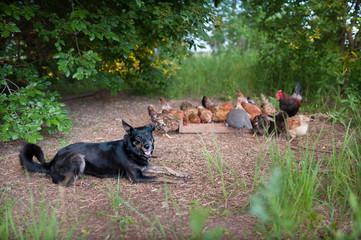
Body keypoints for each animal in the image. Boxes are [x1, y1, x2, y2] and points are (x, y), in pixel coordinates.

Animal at [19, 120, 188, 186]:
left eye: (148, 135)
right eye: (138, 137)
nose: (147, 146)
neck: (131, 150)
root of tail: (52, 161)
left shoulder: (145, 167)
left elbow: (165, 168)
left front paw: (180, 173)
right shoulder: (137, 177)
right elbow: (160, 177)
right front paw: (179, 180)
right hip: (78, 157)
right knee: (61, 180)